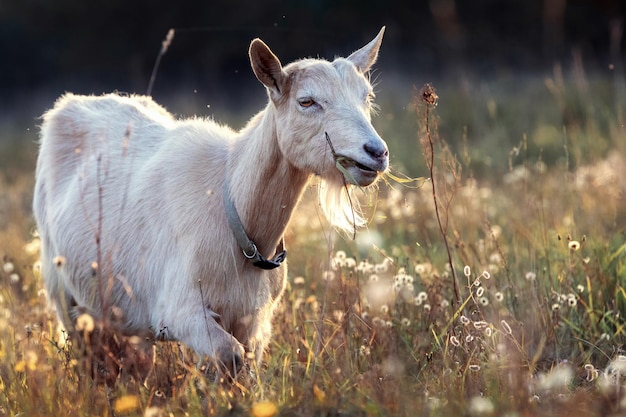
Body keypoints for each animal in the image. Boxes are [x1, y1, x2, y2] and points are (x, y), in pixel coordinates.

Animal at [34, 29, 388, 374]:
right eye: (306, 101)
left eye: (367, 96)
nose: (376, 152)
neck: (236, 213)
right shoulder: (181, 310)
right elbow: (229, 355)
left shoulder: (252, 319)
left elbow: (245, 364)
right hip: (63, 292)